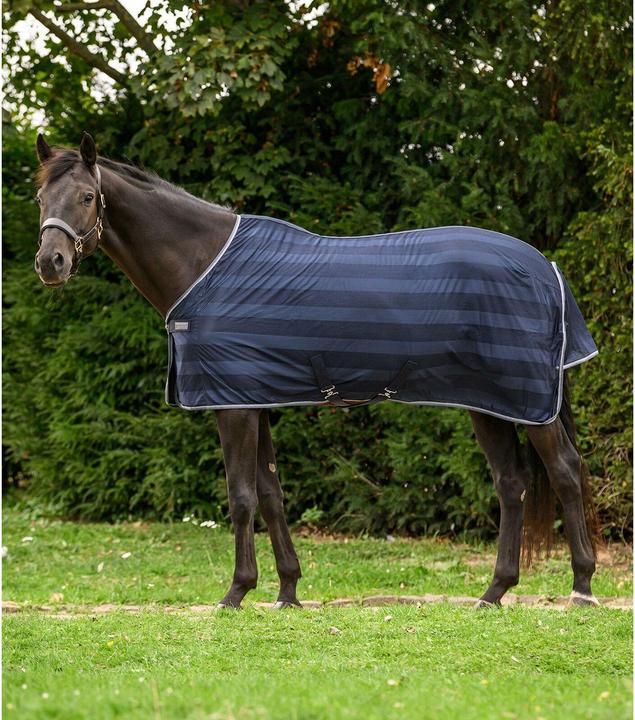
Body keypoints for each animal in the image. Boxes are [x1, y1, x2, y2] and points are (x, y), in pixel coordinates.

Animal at [33, 132, 600, 609]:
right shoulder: (252, 398)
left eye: (87, 197)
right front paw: (287, 591)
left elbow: (240, 497)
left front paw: (235, 593)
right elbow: (270, 494)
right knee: (511, 482)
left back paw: (582, 587)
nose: (50, 263)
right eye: (41, 199)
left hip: (528, 401)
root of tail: (546, 267)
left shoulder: (231, 405)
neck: (203, 265)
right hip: (488, 402)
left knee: (565, 472)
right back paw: (494, 592)